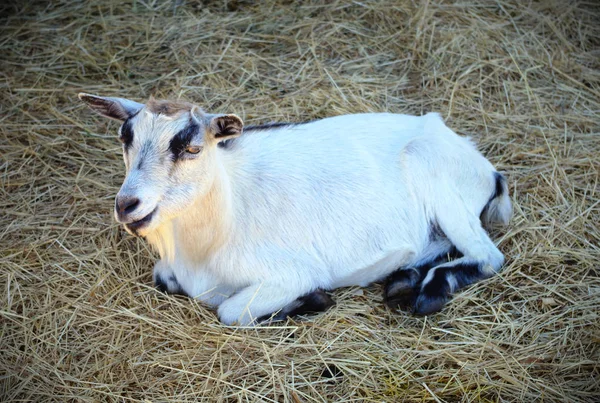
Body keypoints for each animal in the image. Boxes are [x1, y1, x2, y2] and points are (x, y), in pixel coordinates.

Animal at [78, 95, 510, 328]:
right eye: (125, 138)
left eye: (192, 147)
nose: (127, 205)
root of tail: (483, 166)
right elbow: (162, 278)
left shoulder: (289, 274)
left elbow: (231, 311)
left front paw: (312, 300)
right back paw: (404, 279)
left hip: (435, 177)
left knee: (488, 256)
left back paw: (428, 291)